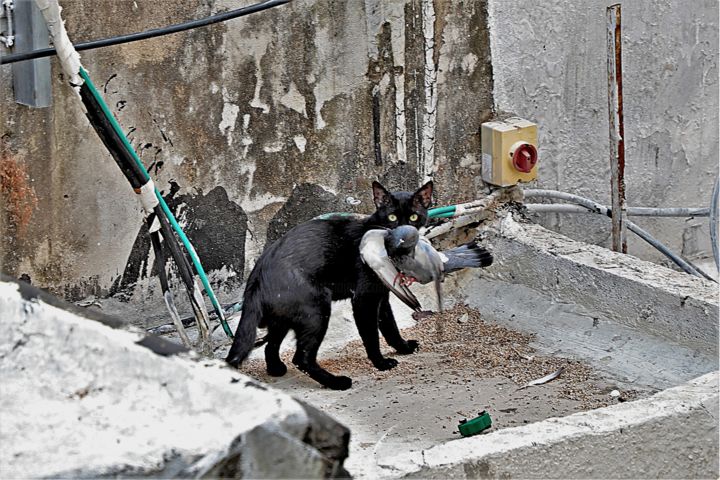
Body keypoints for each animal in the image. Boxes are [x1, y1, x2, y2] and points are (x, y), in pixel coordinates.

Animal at [226, 181, 434, 390]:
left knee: (271, 345)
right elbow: (372, 335)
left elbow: (390, 326)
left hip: (283, 316)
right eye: (392, 217)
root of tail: (257, 275)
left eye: (414, 217)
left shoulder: (381, 296)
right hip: (317, 310)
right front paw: (381, 363)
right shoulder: (364, 300)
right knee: (301, 358)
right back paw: (336, 382)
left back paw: (276, 369)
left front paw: (403, 348)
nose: (403, 235)